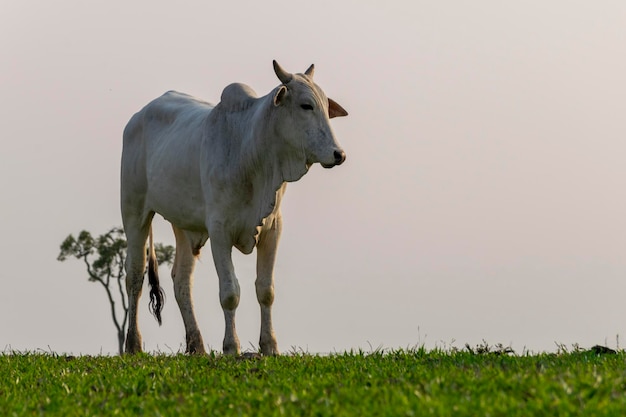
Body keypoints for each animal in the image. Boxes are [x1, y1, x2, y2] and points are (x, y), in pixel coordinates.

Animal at [120, 61, 346, 354]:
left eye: (325, 106)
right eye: (306, 105)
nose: (338, 154)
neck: (252, 151)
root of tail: (137, 117)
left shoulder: (273, 228)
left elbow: (265, 290)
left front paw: (269, 345)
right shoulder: (219, 231)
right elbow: (229, 293)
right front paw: (231, 347)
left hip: (183, 224)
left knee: (182, 281)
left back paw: (197, 346)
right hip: (134, 213)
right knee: (135, 276)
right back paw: (133, 344)